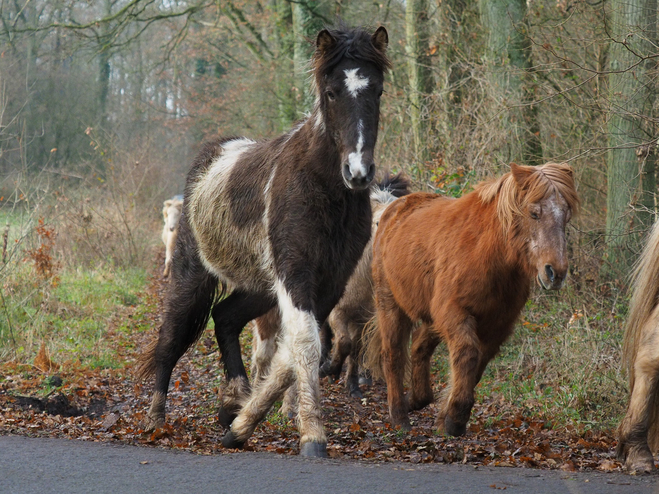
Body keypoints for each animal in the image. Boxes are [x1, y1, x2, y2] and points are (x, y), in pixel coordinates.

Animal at [136, 26, 390, 460]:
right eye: (331, 92)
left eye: (377, 88)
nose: (358, 172)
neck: (322, 187)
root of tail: (211, 156)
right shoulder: (297, 274)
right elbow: (304, 344)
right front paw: (312, 435)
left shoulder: (329, 283)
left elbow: (292, 352)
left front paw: (241, 427)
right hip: (192, 276)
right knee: (171, 337)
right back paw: (156, 418)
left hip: (260, 287)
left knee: (225, 317)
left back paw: (232, 401)